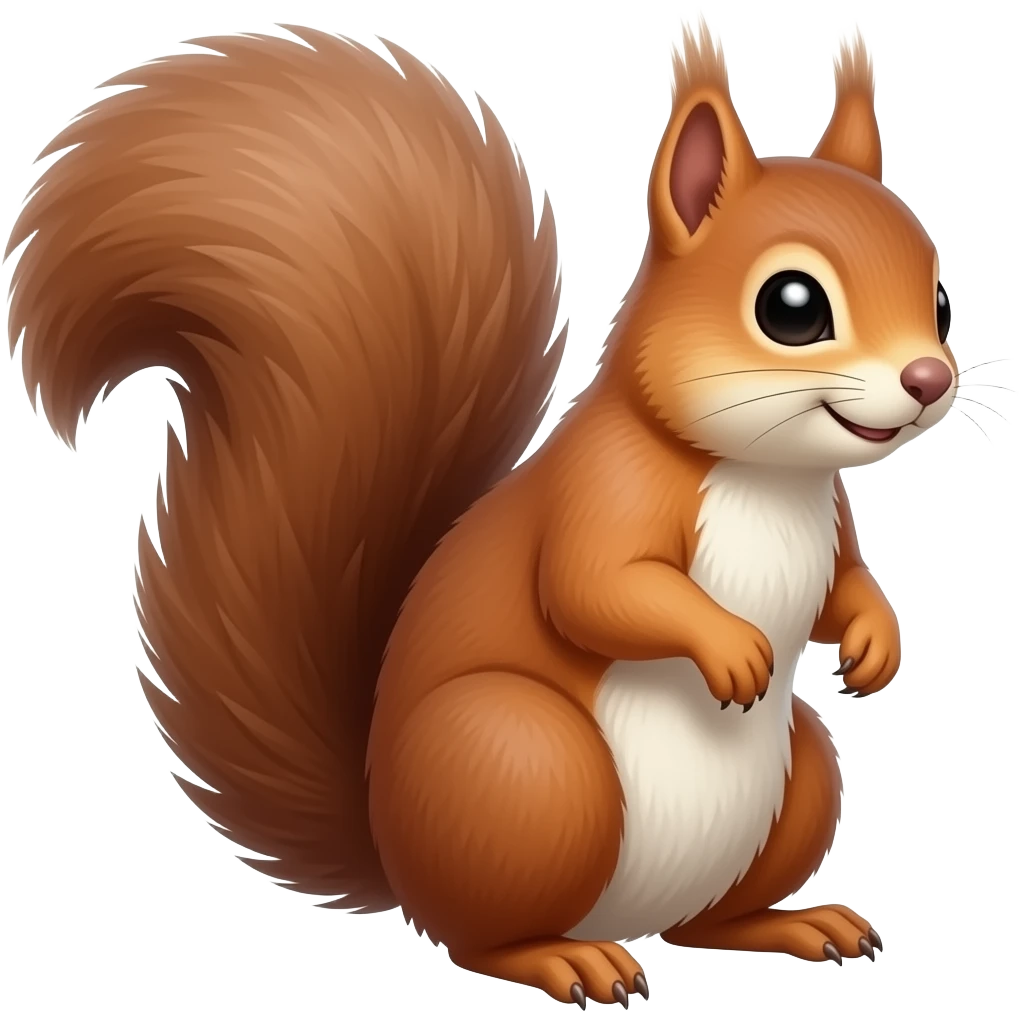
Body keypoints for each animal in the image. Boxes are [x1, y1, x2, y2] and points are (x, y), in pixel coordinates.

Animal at [6, 17, 957, 1008]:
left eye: (937, 298)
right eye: (791, 306)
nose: (930, 380)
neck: (764, 474)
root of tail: (395, 852)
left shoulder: (830, 522)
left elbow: (842, 586)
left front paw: (875, 640)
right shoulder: (604, 492)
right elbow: (594, 588)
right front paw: (730, 645)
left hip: (793, 774)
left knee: (706, 922)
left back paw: (790, 923)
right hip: (525, 764)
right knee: (479, 937)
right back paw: (563, 959)